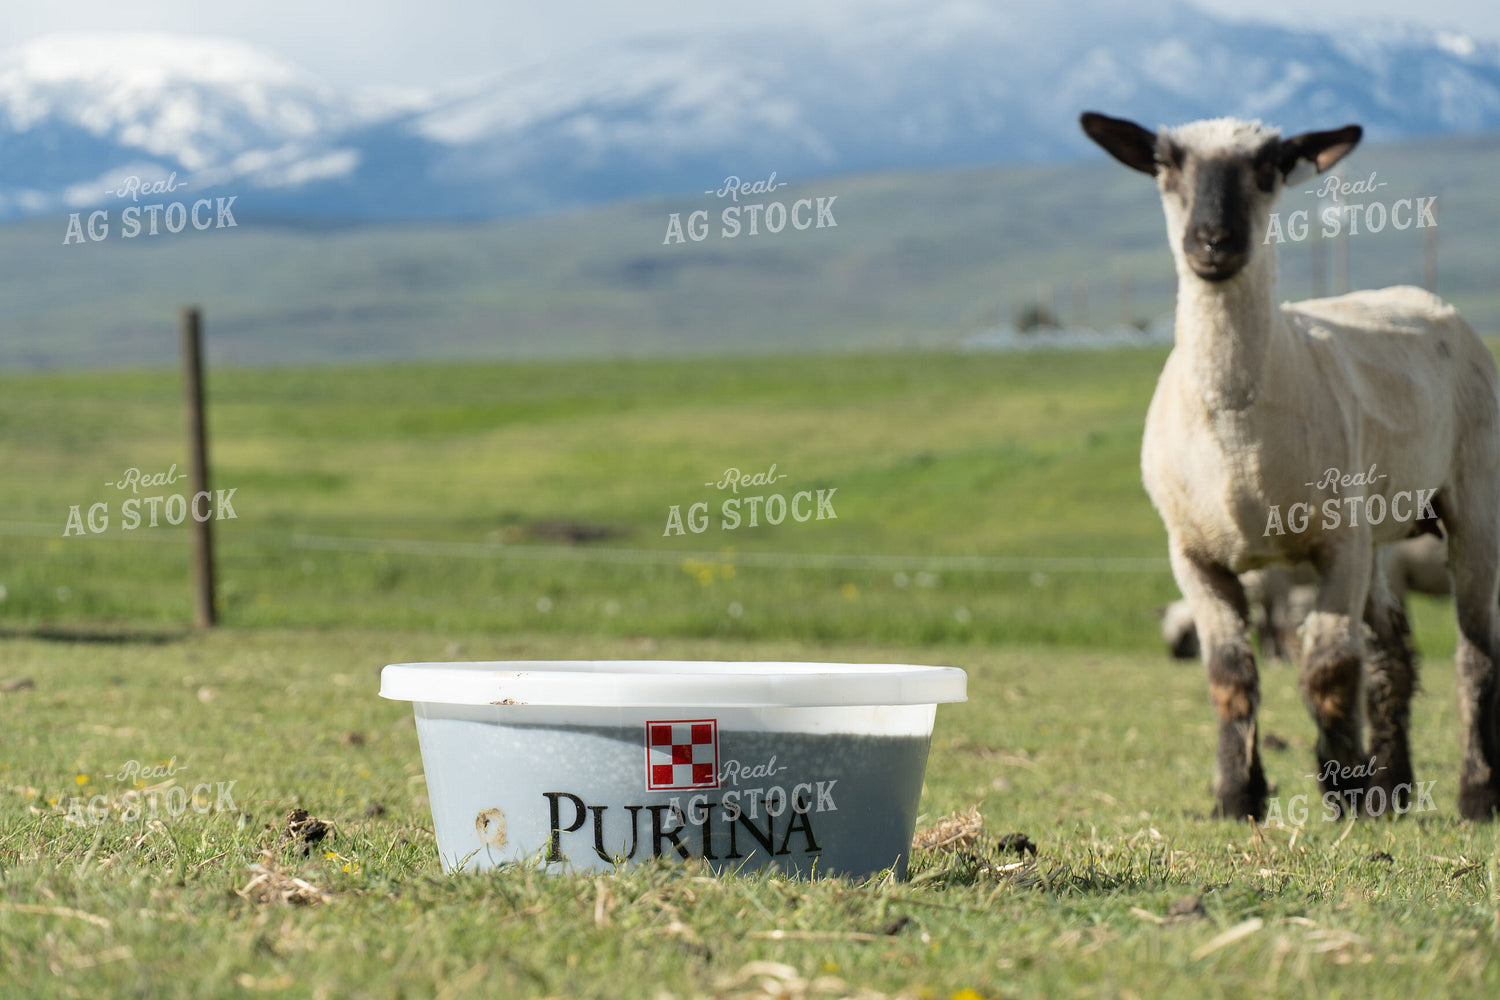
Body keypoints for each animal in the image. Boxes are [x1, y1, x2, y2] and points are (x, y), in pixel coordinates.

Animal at [1082, 111, 1500, 821]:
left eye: (1269, 168)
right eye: (1166, 165)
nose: (1213, 242)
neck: (1236, 427)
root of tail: (1422, 297)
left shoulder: (1335, 546)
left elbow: (1328, 667)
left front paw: (1344, 792)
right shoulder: (1193, 554)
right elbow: (1229, 674)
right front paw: (1235, 796)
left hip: (1472, 497)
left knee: (1474, 653)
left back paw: (1474, 792)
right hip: (1379, 534)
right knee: (1394, 652)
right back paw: (1393, 785)